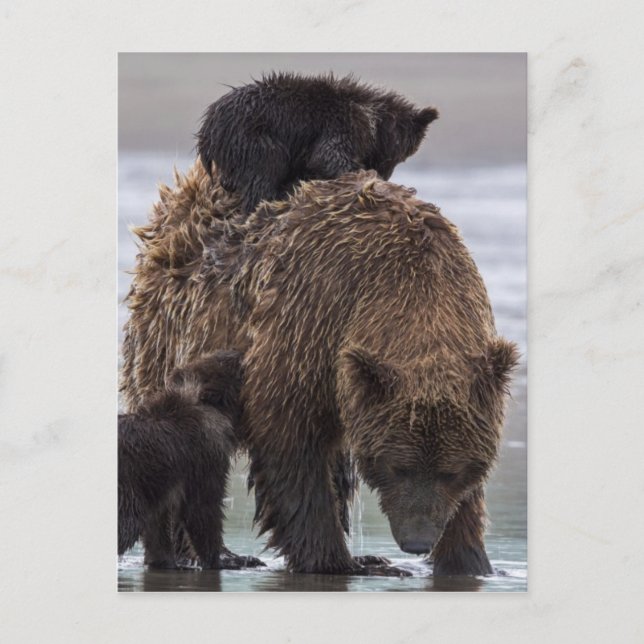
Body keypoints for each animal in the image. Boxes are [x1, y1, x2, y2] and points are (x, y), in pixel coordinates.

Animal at [118, 349, 264, 570]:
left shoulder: (160, 488)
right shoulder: (204, 457)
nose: (238, 352)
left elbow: (157, 527)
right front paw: (226, 560)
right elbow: (201, 509)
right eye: (239, 368)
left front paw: (165, 561)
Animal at [196, 72, 439, 214]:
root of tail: (208, 124)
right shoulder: (342, 124)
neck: (374, 121)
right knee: (266, 168)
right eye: (397, 156)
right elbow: (329, 157)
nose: (385, 175)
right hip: (253, 135)